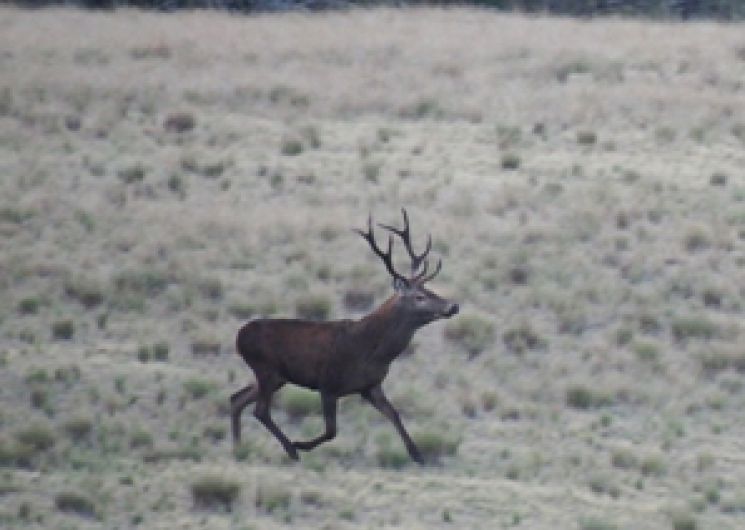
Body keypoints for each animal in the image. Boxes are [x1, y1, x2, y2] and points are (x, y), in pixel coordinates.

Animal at [229, 209, 459, 464]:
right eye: (419, 296)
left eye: (431, 290)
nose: (453, 306)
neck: (372, 352)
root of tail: (239, 336)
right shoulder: (328, 384)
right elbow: (332, 431)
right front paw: (301, 444)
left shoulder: (371, 386)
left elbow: (395, 414)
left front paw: (417, 454)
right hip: (266, 369)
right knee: (260, 410)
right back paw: (290, 449)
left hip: (277, 377)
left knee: (236, 398)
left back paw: (238, 447)